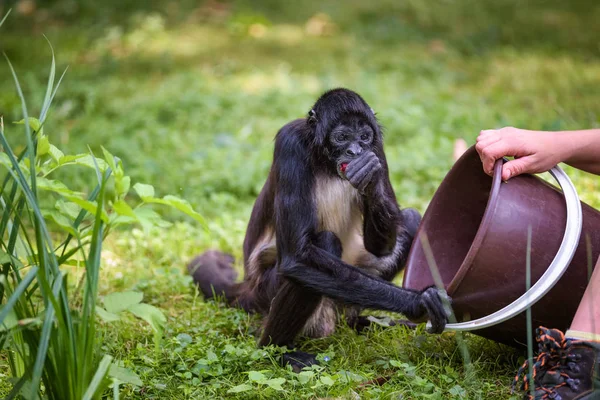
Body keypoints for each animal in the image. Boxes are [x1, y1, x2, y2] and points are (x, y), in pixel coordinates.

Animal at [189, 88, 450, 372]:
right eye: (342, 137)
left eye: (364, 137)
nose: (355, 150)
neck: (326, 163)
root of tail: (248, 285)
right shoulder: (290, 143)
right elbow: (297, 259)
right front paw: (418, 302)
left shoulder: (377, 149)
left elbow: (382, 246)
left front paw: (370, 178)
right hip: (266, 290)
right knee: (323, 244)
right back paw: (277, 351)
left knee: (411, 218)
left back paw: (359, 322)